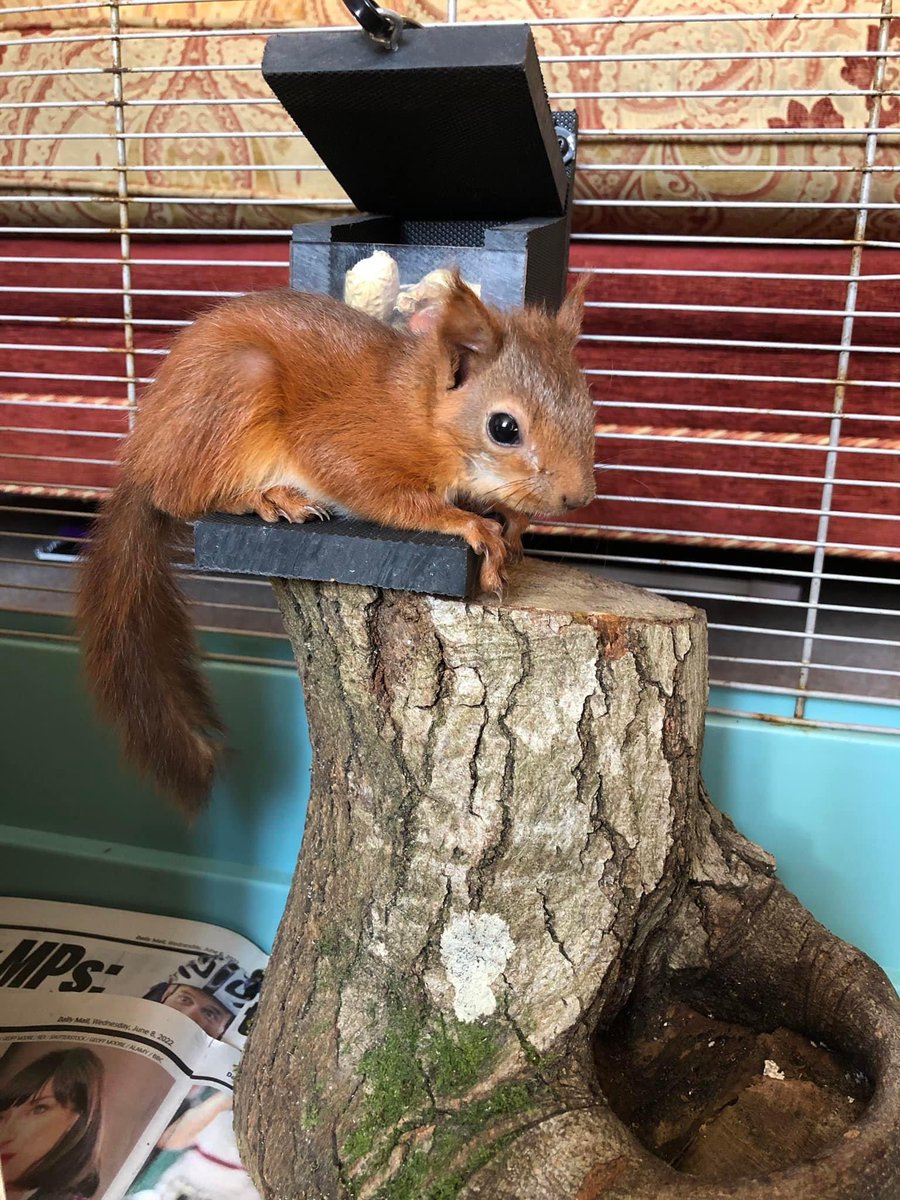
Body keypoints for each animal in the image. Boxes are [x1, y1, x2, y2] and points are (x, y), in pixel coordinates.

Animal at [77, 272, 600, 816]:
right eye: (504, 428)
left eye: (588, 404)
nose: (578, 497)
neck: (417, 407)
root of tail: (144, 456)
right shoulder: (346, 447)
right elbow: (384, 496)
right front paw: (472, 527)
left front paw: (512, 520)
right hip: (236, 391)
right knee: (180, 495)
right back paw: (266, 497)